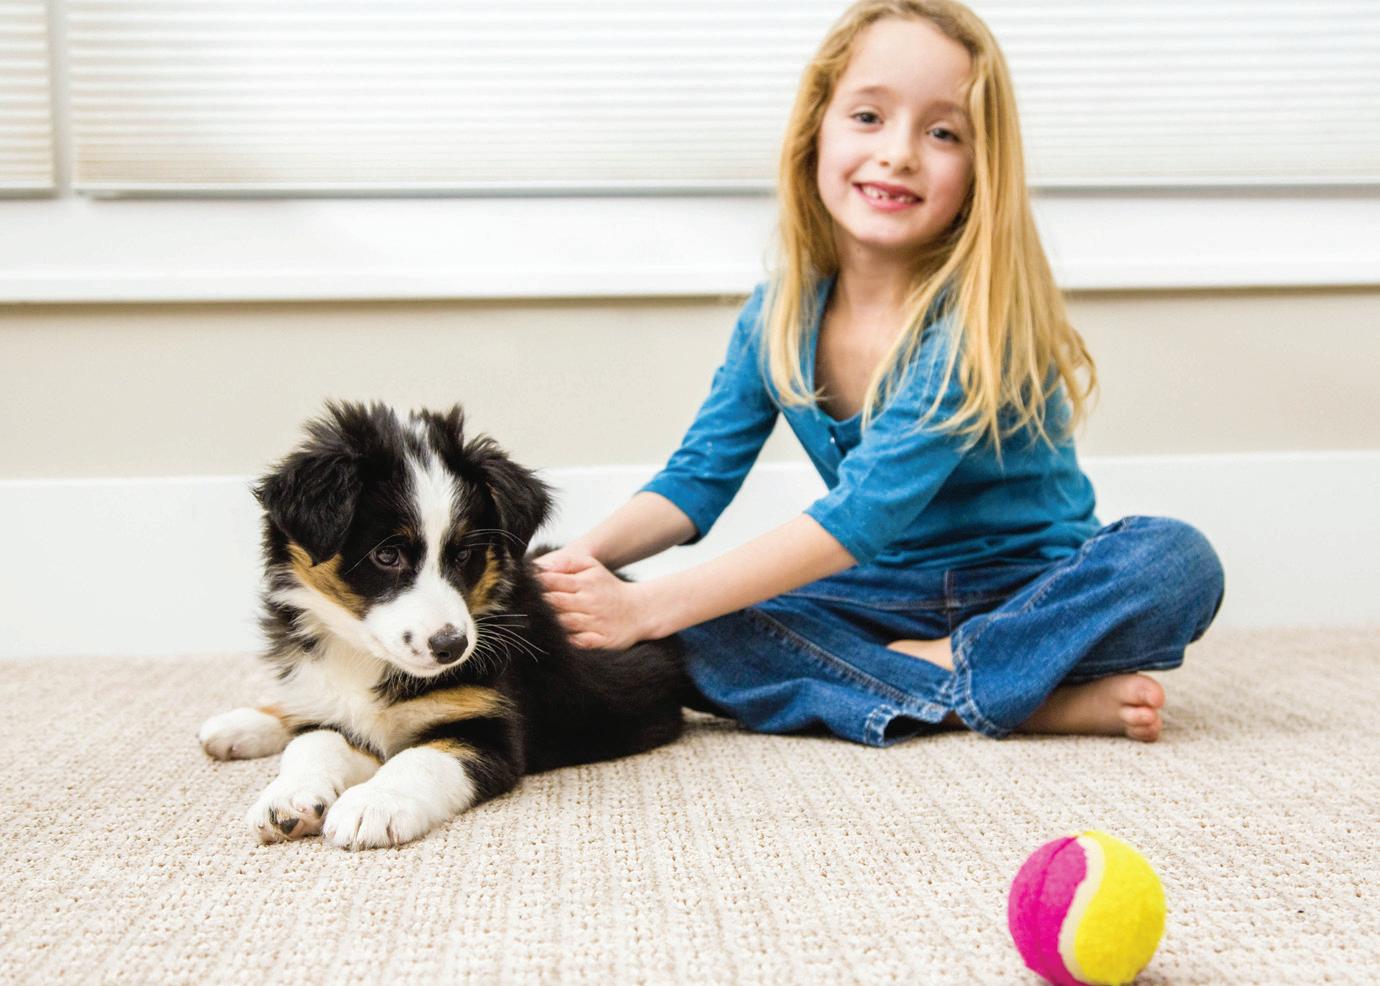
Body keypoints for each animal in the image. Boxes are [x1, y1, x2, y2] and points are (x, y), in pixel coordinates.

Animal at [198, 401, 689, 850]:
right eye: (387, 554)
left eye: (464, 555)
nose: (452, 647)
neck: (365, 659)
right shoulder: (332, 710)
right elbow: (312, 742)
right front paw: (287, 798)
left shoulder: (488, 731)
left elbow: (421, 759)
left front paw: (372, 804)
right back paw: (238, 725)